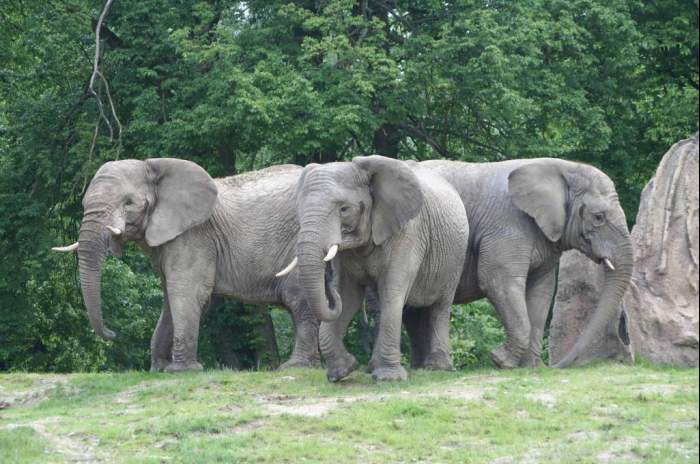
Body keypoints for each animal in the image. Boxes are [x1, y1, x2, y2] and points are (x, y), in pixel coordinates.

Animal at [53, 160, 322, 374]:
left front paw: (181, 371)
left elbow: (186, 292)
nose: (112, 334)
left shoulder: (194, 235)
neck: (153, 167)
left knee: (299, 300)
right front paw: (158, 369)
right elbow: (170, 297)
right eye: (84, 203)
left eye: (127, 203)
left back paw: (296, 367)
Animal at [276, 156, 468, 380]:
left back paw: (437, 368)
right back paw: (373, 367)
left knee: (440, 306)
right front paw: (342, 371)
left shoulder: (408, 232)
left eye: (344, 209)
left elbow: (392, 291)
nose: (328, 279)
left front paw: (389, 378)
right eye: (300, 211)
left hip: (455, 258)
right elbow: (348, 295)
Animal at [402, 160, 632, 370]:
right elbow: (498, 282)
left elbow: (541, 293)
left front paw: (532, 367)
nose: (555, 367)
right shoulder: (506, 225)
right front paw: (501, 361)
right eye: (599, 217)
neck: (564, 167)